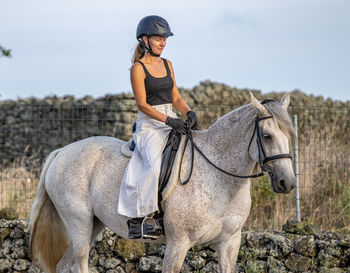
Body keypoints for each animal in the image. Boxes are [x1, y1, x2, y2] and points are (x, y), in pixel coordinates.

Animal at [29, 92, 296, 270]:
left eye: (290, 135)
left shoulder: (229, 242)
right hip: (80, 224)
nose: (288, 183)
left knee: (63, 265)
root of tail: (61, 152)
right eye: (267, 136)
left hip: (94, 224)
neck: (220, 177)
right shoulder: (178, 244)